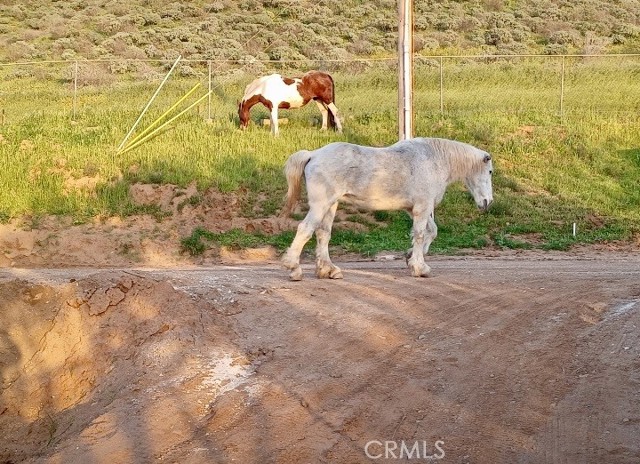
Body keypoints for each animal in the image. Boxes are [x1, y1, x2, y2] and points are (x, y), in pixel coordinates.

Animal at [280, 138, 496, 280]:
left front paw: (410, 256)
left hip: (331, 205)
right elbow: (420, 234)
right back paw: (294, 269)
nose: (488, 202)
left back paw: (329, 270)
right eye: (490, 171)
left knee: (323, 234)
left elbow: (431, 231)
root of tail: (313, 155)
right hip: (320, 205)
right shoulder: (422, 207)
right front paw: (420, 268)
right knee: (305, 229)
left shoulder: (414, 208)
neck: (434, 160)